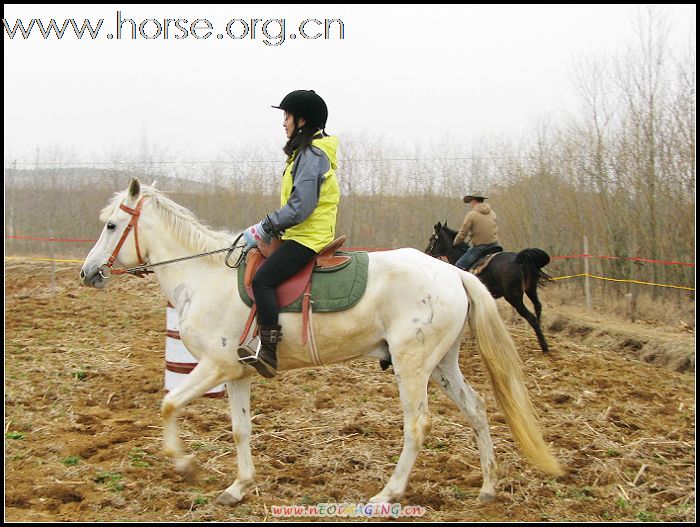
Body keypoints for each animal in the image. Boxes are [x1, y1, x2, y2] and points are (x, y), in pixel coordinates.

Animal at [426, 221, 552, 352]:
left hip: (514, 298)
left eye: (432, 239)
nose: (426, 252)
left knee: (531, 317)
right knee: (538, 306)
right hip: (531, 290)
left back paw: (544, 346)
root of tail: (519, 259)